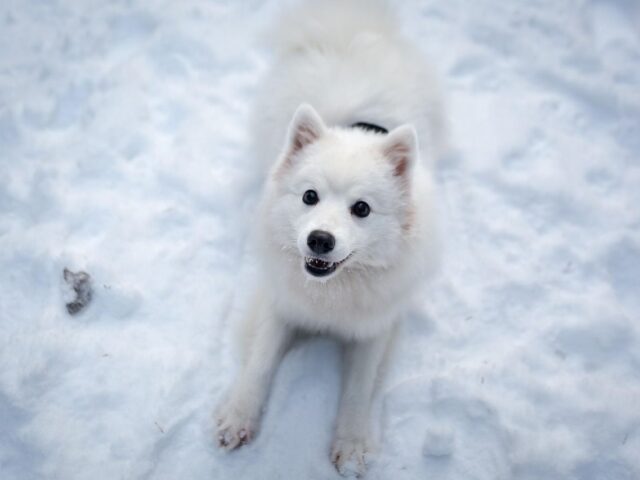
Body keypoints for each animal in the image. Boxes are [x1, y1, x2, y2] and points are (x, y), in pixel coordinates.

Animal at [218, 0, 442, 476]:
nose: (319, 240)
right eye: (309, 196)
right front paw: (237, 417)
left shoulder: (376, 326)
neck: (331, 292)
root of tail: (350, 30)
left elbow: (359, 388)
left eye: (362, 209)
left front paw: (352, 446)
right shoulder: (279, 304)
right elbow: (259, 363)